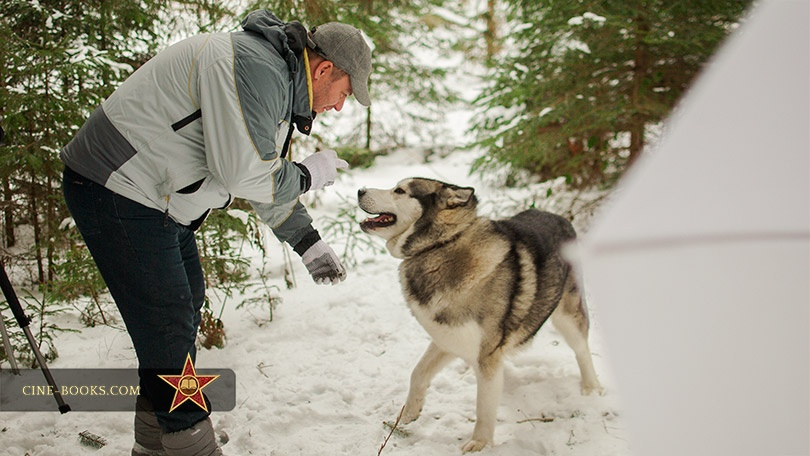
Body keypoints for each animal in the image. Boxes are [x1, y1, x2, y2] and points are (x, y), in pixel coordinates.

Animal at [358, 178, 600, 452]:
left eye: (399, 191)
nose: (359, 191)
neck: (441, 245)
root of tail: (562, 218)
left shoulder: (486, 354)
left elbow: (484, 405)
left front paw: (480, 443)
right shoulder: (447, 338)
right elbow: (418, 373)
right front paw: (409, 413)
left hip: (567, 316)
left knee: (581, 349)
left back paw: (592, 388)